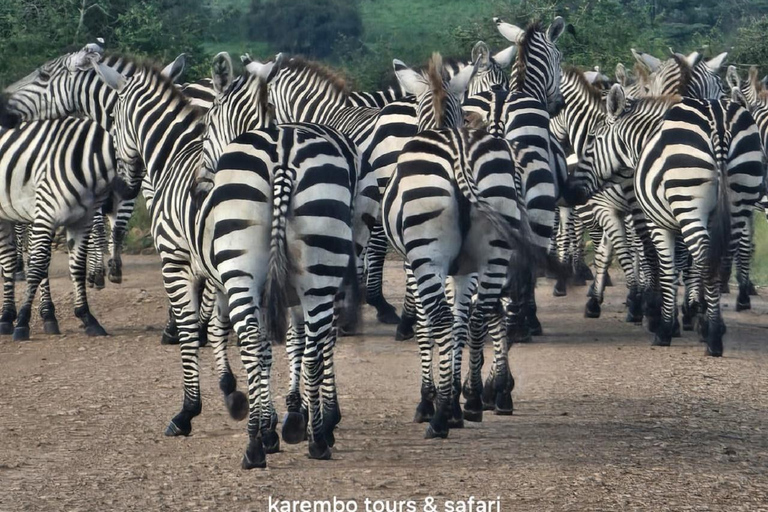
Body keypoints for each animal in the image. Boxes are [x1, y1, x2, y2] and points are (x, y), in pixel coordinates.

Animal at [564, 86, 760, 356]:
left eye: (593, 140)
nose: (570, 191)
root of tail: (718, 123)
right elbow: (683, 265)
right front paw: (691, 313)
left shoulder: (655, 220)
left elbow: (663, 265)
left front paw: (664, 324)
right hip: (739, 202)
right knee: (723, 258)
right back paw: (715, 326)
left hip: (687, 201)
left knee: (702, 255)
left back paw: (712, 338)